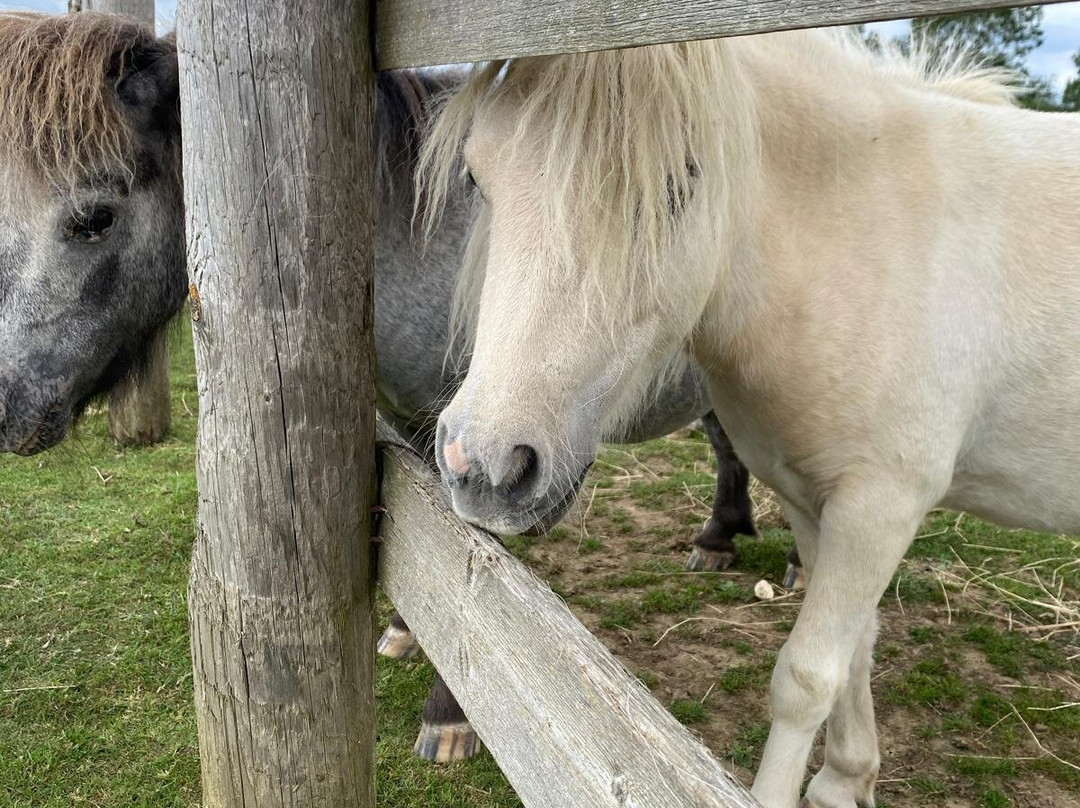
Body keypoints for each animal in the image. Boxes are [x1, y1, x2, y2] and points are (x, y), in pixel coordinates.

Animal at [0, 11, 788, 766]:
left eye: (94, 218)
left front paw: (449, 717)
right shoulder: (425, 426)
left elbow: (475, 562)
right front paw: (409, 630)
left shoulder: (494, 447)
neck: (429, 240)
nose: (5, 404)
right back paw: (721, 538)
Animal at [418, 28, 1080, 807]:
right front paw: (844, 782)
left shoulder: (881, 506)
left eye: (677, 185)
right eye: (477, 177)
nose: (485, 467)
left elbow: (807, 677)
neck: (866, 239)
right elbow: (856, 650)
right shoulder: (811, 500)